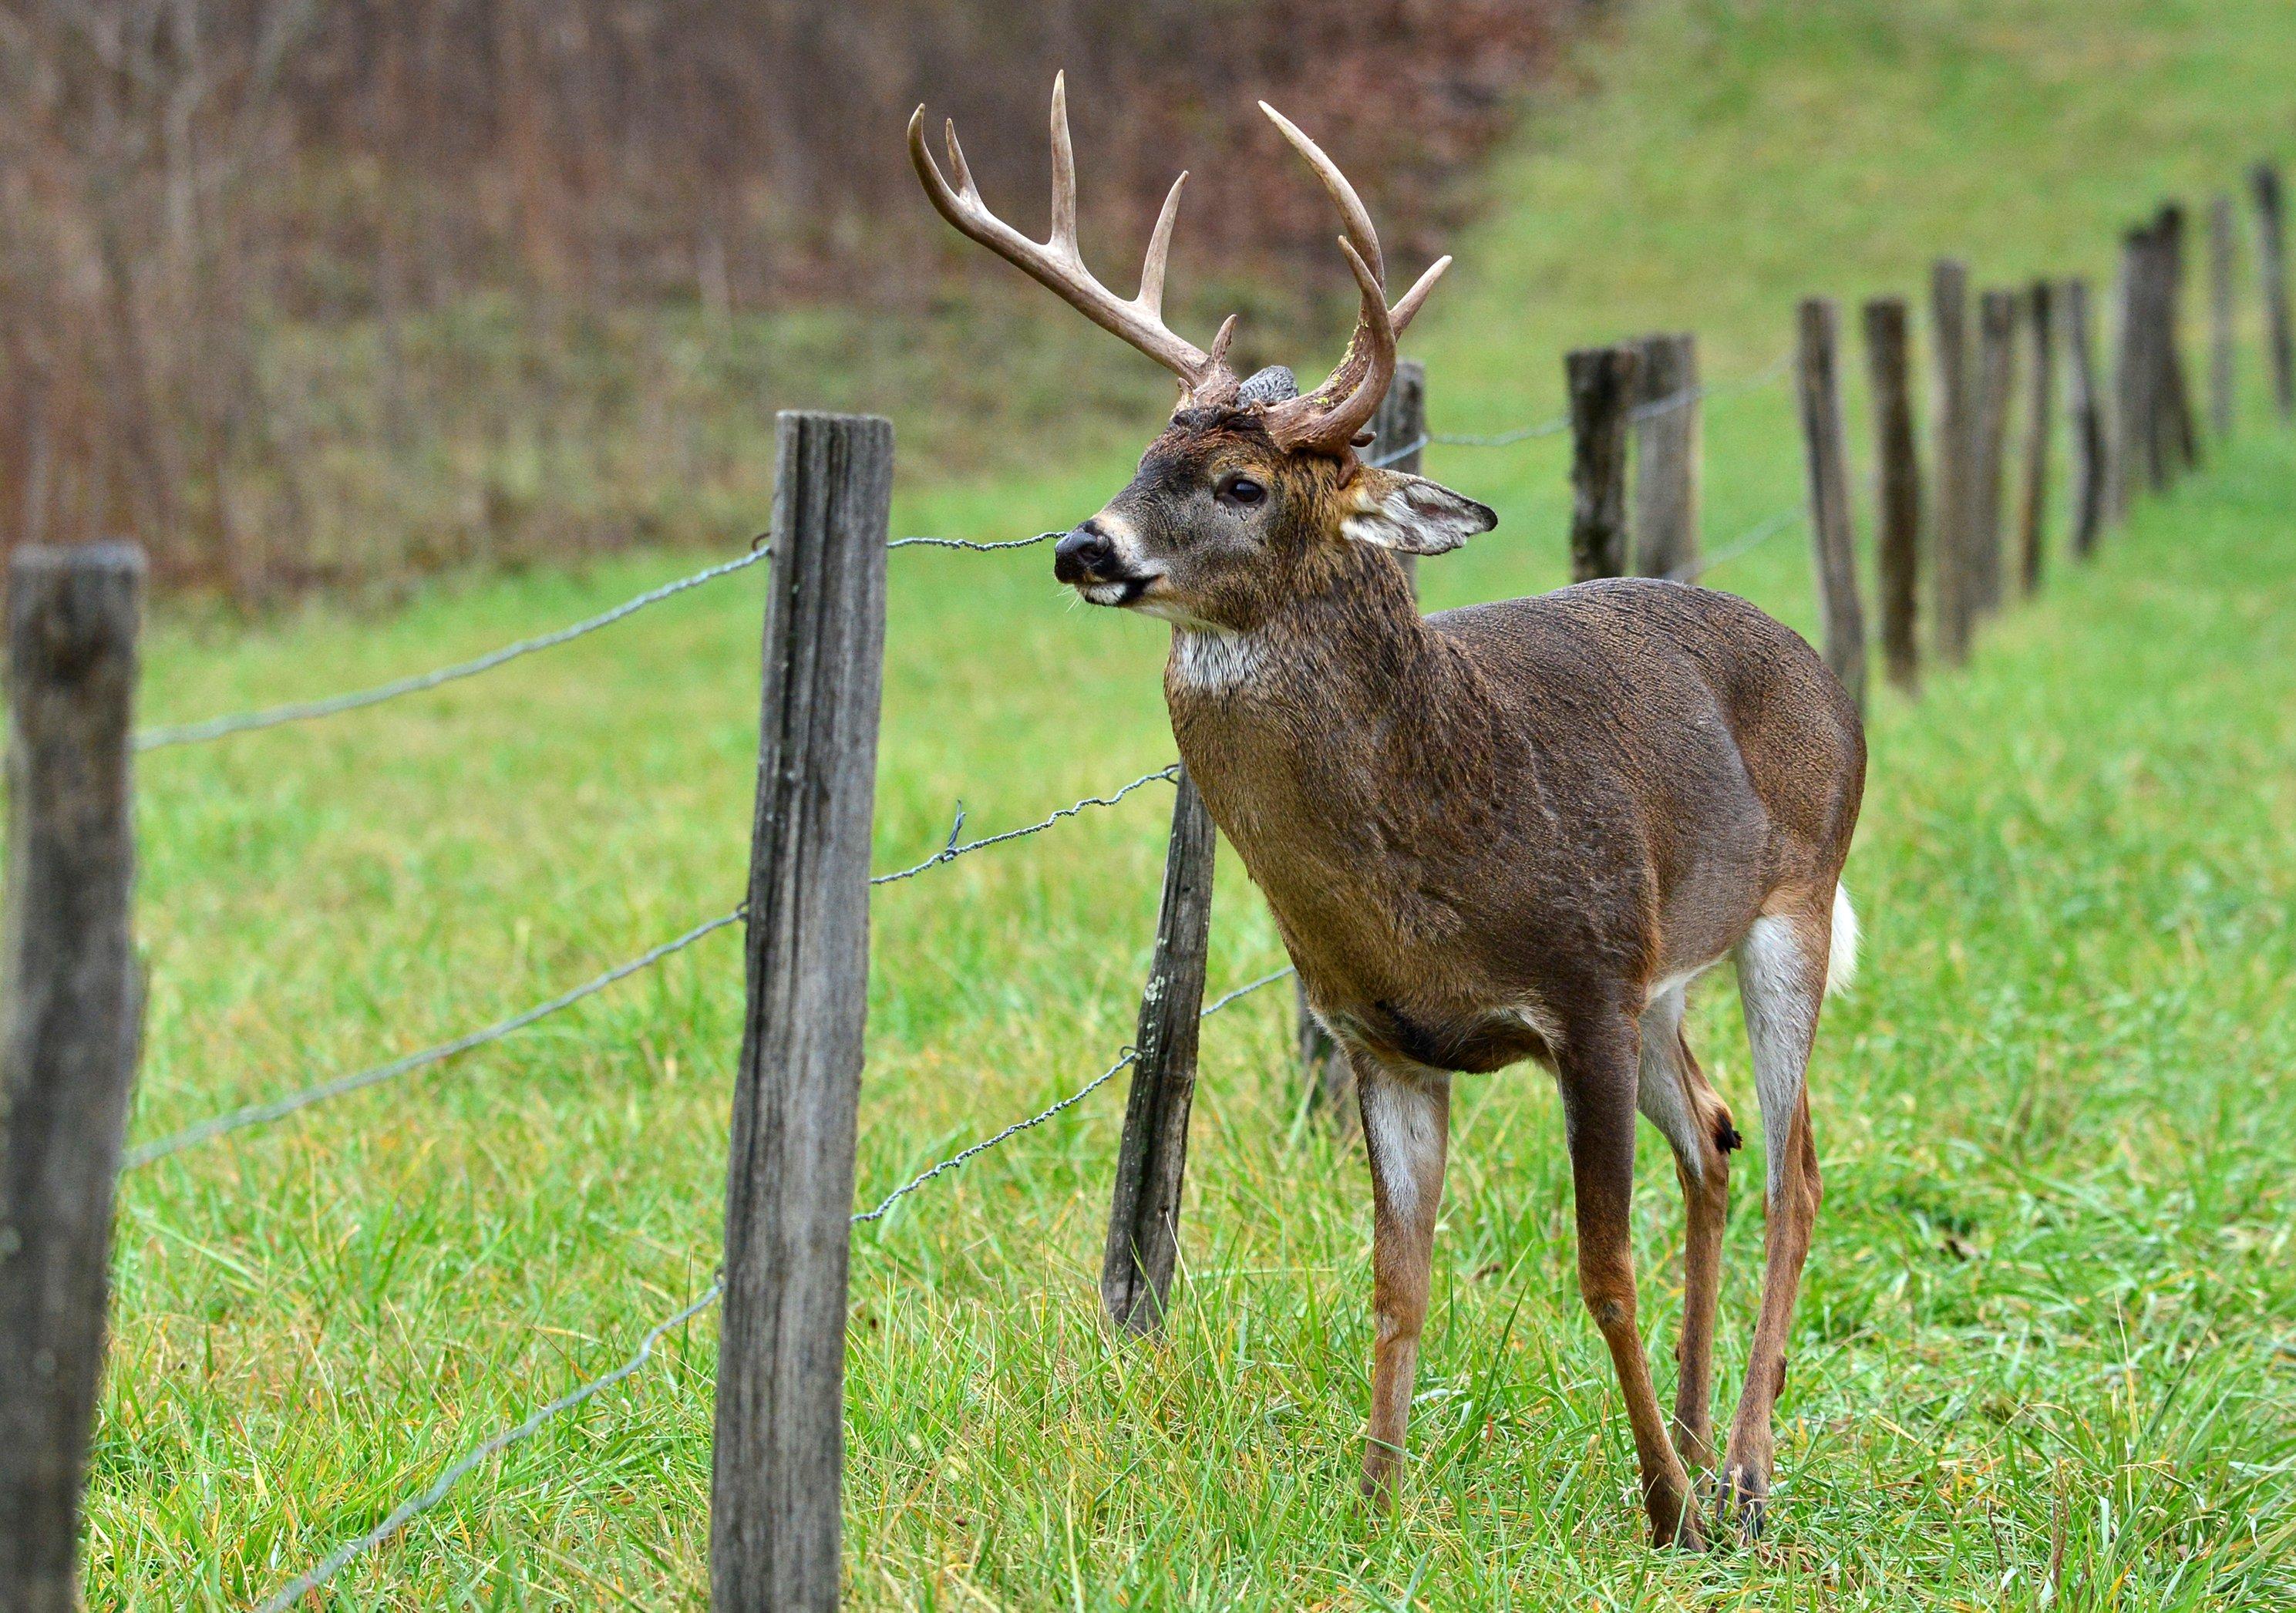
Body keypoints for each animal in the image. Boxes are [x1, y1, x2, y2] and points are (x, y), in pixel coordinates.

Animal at [904, 79, 1855, 1553]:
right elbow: (1395, 1280)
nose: (1083, 547)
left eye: (1241, 485)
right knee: (1711, 1139)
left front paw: (1658, 1510)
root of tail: (1813, 661)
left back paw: (1738, 1477)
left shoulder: (1580, 986)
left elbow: (1601, 1266)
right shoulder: (1380, 1034)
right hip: (1662, 980)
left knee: (1789, 1169)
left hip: (1790, 906)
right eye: (1145, 453)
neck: (1436, 837)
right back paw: (1706, 1443)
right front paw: (1374, 1500)